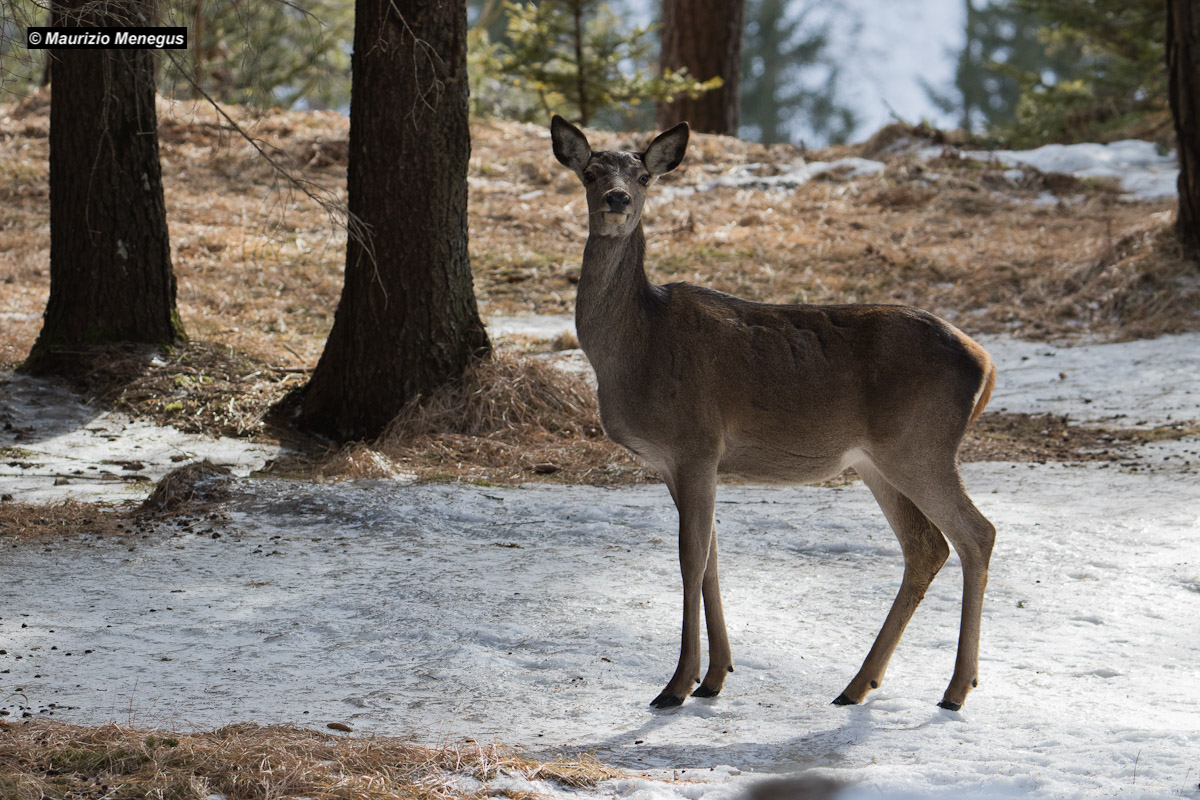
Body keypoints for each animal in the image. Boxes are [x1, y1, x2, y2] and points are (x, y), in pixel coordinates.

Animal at [550, 115, 998, 711]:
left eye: (644, 176)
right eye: (591, 172)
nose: (617, 198)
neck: (636, 348)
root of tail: (985, 362)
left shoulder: (696, 441)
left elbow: (690, 557)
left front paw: (676, 684)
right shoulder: (680, 462)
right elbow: (711, 558)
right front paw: (715, 677)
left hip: (921, 445)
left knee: (977, 534)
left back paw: (955, 688)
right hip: (878, 460)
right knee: (926, 547)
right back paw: (859, 685)